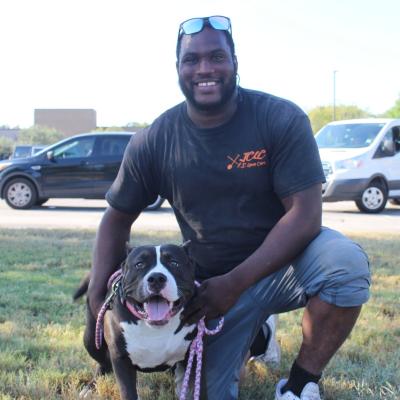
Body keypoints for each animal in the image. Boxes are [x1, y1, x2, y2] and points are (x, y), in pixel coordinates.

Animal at [73, 244, 202, 400]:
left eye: (174, 263)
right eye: (139, 264)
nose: (156, 278)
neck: (155, 329)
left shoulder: (193, 354)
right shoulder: (121, 359)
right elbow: (128, 392)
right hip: (91, 339)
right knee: (103, 362)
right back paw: (90, 387)